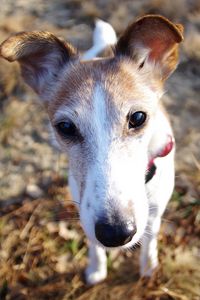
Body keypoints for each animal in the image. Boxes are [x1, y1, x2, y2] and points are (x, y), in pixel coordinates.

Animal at [0, 14, 184, 286]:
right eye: (65, 127)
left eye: (138, 117)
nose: (115, 233)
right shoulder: (83, 205)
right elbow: (93, 243)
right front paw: (97, 269)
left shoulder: (155, 211)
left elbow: (150, 239)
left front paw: (148, 267)